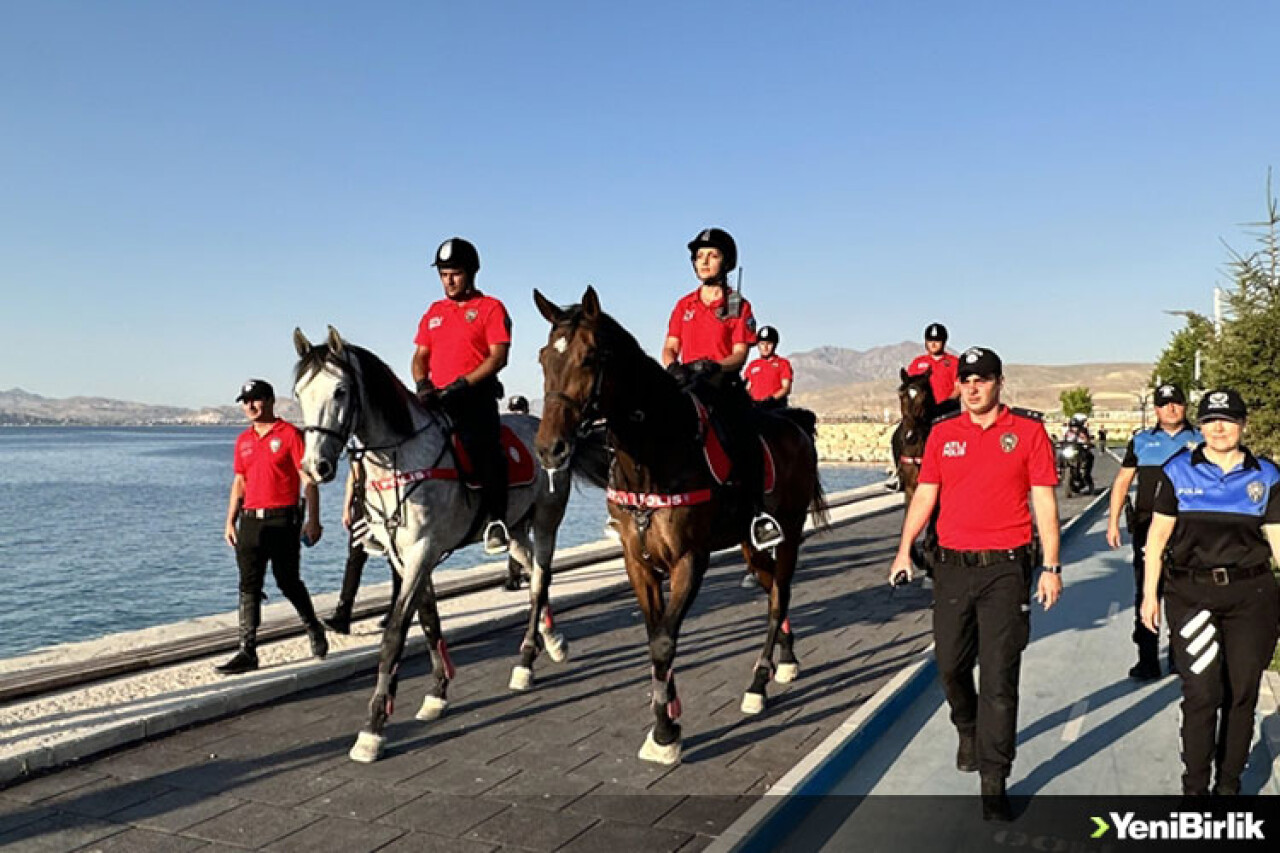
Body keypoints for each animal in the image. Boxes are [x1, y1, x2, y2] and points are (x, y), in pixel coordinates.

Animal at [529, 285, 829, 763]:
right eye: (543, 358)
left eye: (590, 357)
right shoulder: (638, 561)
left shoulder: (690, 559)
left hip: (789, 532)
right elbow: (654, 635)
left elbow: (665, 641)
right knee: (773, 596)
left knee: (779, 597)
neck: (651, 454)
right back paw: (785, 660)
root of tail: (795, 423)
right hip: (751, 545)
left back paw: (758, 682)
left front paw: (666, 731)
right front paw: (665, 715)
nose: (549, 449)